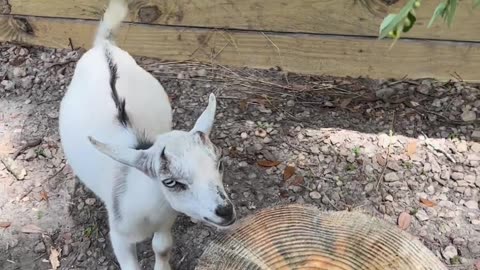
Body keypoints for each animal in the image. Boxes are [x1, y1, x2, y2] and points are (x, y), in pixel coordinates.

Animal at [58, 1, 236, 268]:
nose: (225, 211)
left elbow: (161, 246)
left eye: (220, 163)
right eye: (170, 182)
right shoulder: (119, 236)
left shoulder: (166, 220)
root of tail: (104, 47)